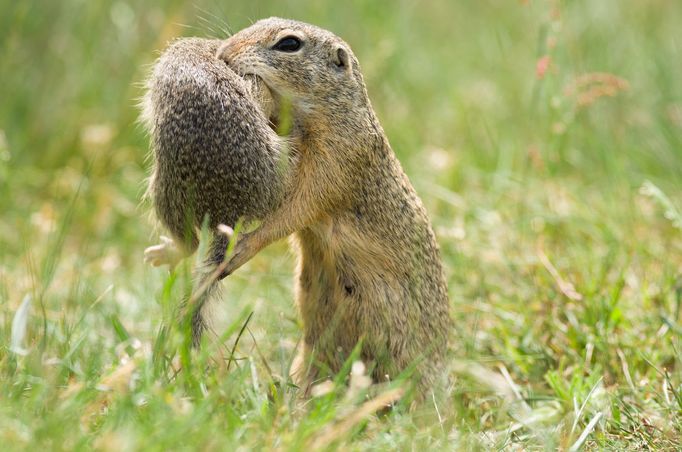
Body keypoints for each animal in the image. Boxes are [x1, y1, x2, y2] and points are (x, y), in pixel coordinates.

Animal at [144, 19, 452, 396]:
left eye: (289, 44)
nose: (225, 52)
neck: (328, 113)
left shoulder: (335, 163)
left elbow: (293, 213)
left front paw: (242, 248)